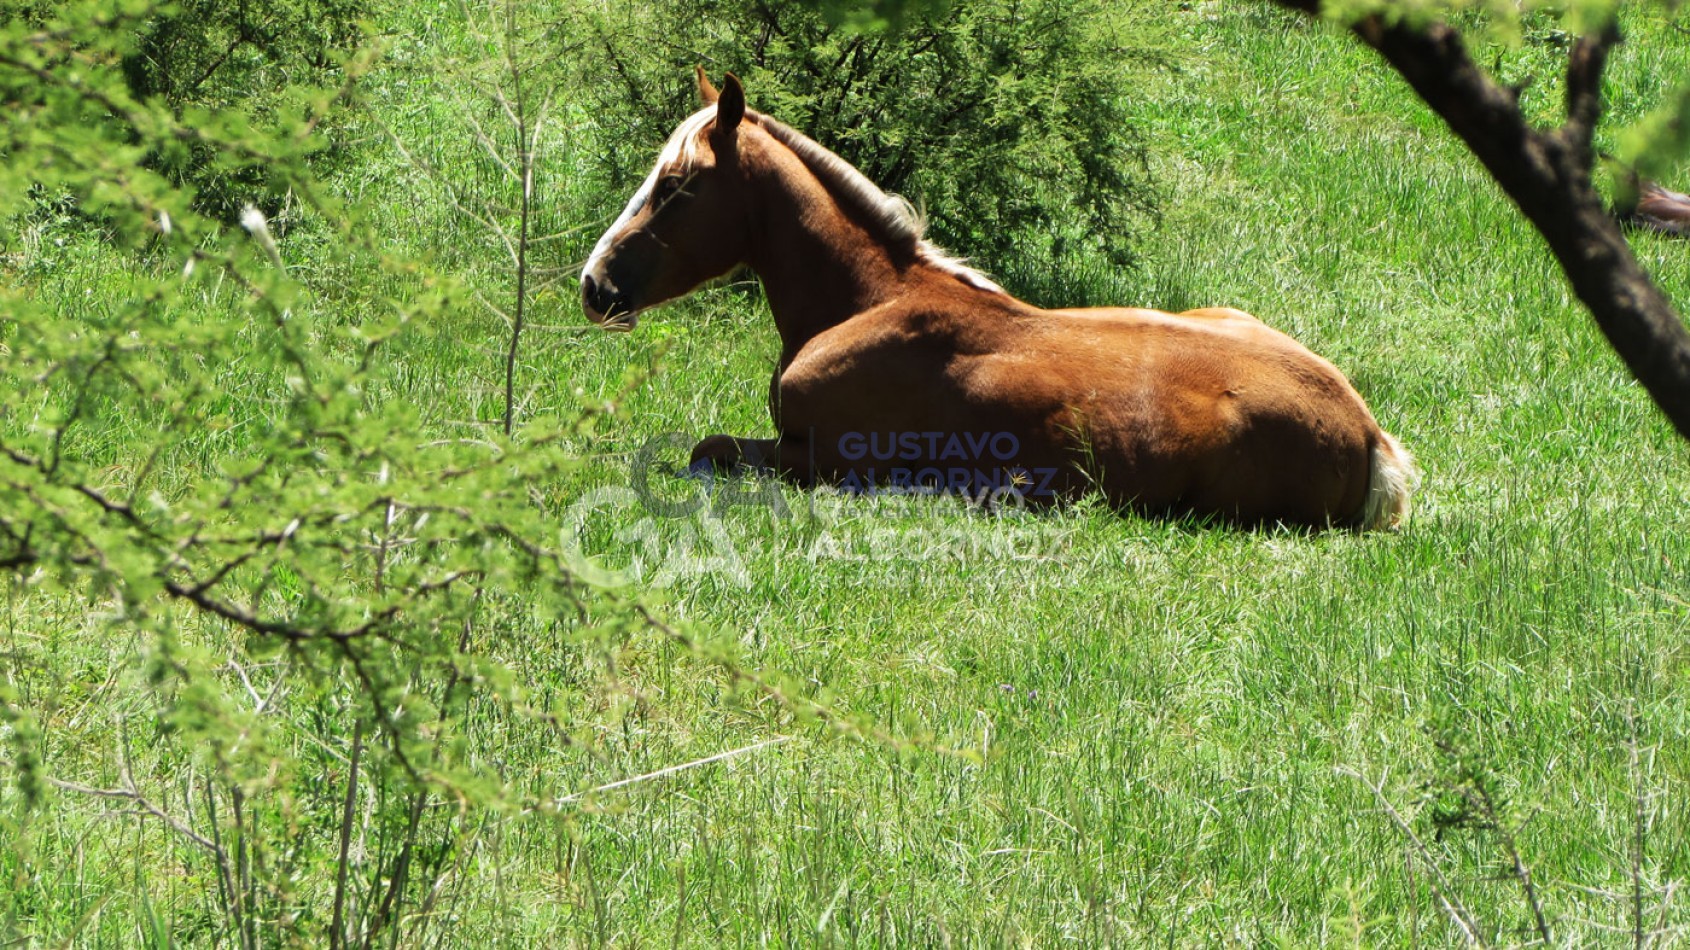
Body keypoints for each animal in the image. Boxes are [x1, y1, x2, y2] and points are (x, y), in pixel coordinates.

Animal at [581, 70, 1418, 529]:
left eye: (675, 187)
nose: (595, 286)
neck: (869, 302)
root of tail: (1368, 435)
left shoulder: (821, 459)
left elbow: (709, 452)